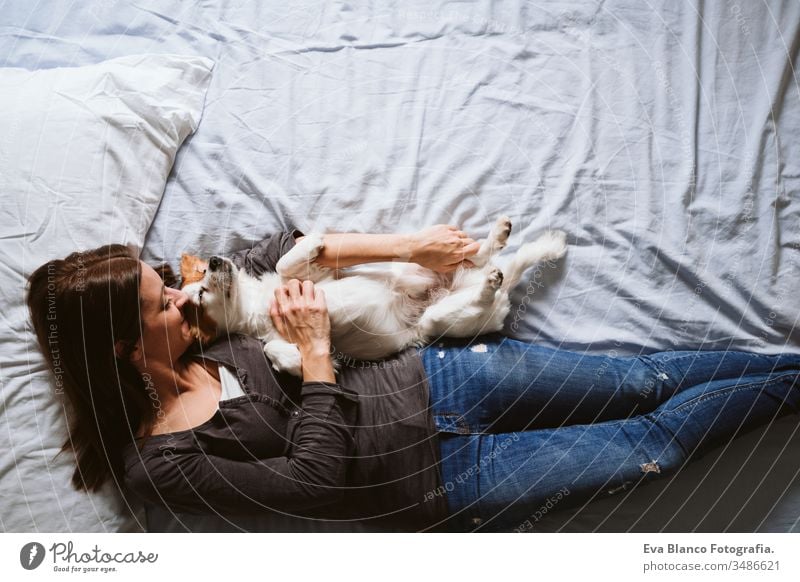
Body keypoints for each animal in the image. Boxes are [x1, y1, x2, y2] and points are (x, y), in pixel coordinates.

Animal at [181, 219, 568, 378]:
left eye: (201, 277)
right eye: (201, 292)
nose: (214, 260)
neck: (259, 303)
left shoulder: (310, 278)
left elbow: (285, 262)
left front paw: (315, 241)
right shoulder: (275, 333)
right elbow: (274, 349)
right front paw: (294, 360)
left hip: (420, 264)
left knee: (476, 254)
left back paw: (498, 235)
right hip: (441, 318)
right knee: (482, 291)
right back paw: (490, 280)